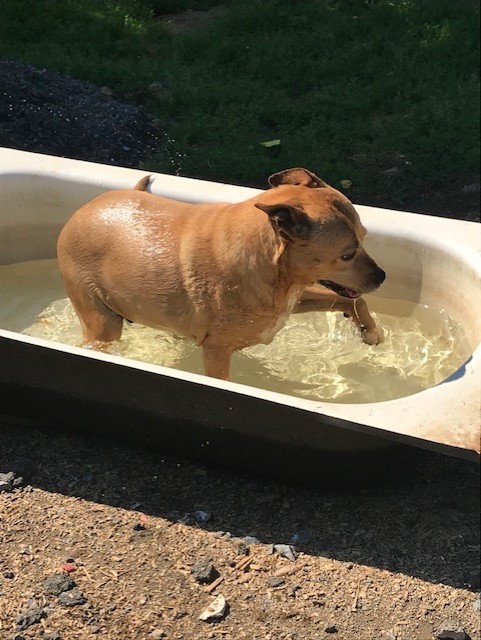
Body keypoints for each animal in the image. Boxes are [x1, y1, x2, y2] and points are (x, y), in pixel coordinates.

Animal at [57, 170, 386, 380]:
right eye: (347, 255)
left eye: (364, 237)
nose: (382, 276)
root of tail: (84, 208)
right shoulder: (216, 352)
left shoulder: (295, 299)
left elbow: (354, 301)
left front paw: (370, 332)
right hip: (102, 322)